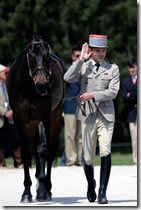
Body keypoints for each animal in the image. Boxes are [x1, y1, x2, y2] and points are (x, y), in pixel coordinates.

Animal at [6, 34, 66, 203]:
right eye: (31, 57)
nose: (43, 85)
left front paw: (42, 192)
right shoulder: (20, 119)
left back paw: (46, 188)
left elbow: (43, 149)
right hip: (32, 124)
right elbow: (26, 152)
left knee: (49, 151)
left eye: (47, 57)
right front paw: (27, 192)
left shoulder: (45, 116)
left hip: (55, 118)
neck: (29, 87)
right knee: (34, 149)